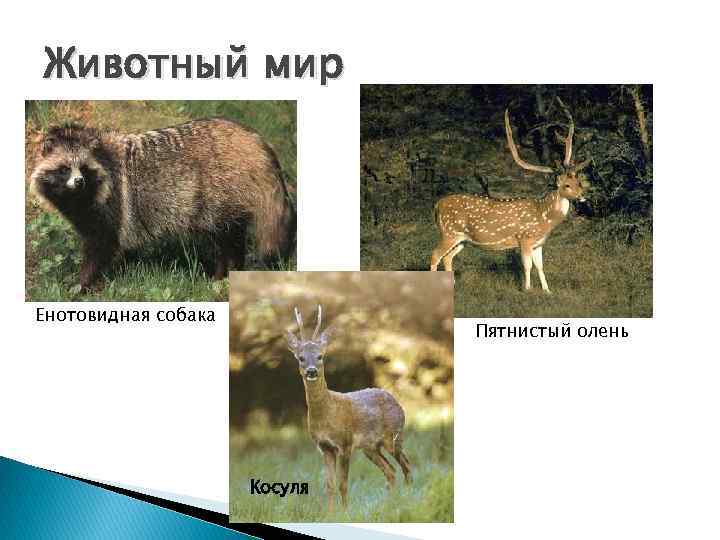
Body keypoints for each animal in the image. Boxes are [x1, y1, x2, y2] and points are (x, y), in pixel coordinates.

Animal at [285, 305, 411, 513]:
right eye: (301, 358)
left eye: (320, 356)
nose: (311, 371)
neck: (327, 414)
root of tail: (397, 402)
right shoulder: (325, 447)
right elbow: (329, 485)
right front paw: (330, 514)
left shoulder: (344, 443)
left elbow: (343, 483)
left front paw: (345, 513)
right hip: (370, 447)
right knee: (391, 471)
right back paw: (391, 504)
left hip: (394, 436)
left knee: (406, 466)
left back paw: (406, 500)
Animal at [430, 98, 591, 293]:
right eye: (566, 185)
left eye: (578, 182)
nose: (582, 196)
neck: (544, 218)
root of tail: (437, 205)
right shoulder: (524, 238)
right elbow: (527, 266)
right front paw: (527, 289)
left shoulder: (538, 243)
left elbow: (540, 266)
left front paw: (547, 291)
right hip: (449, 232)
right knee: (434, 255)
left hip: (462, 239)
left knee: (447, 257)